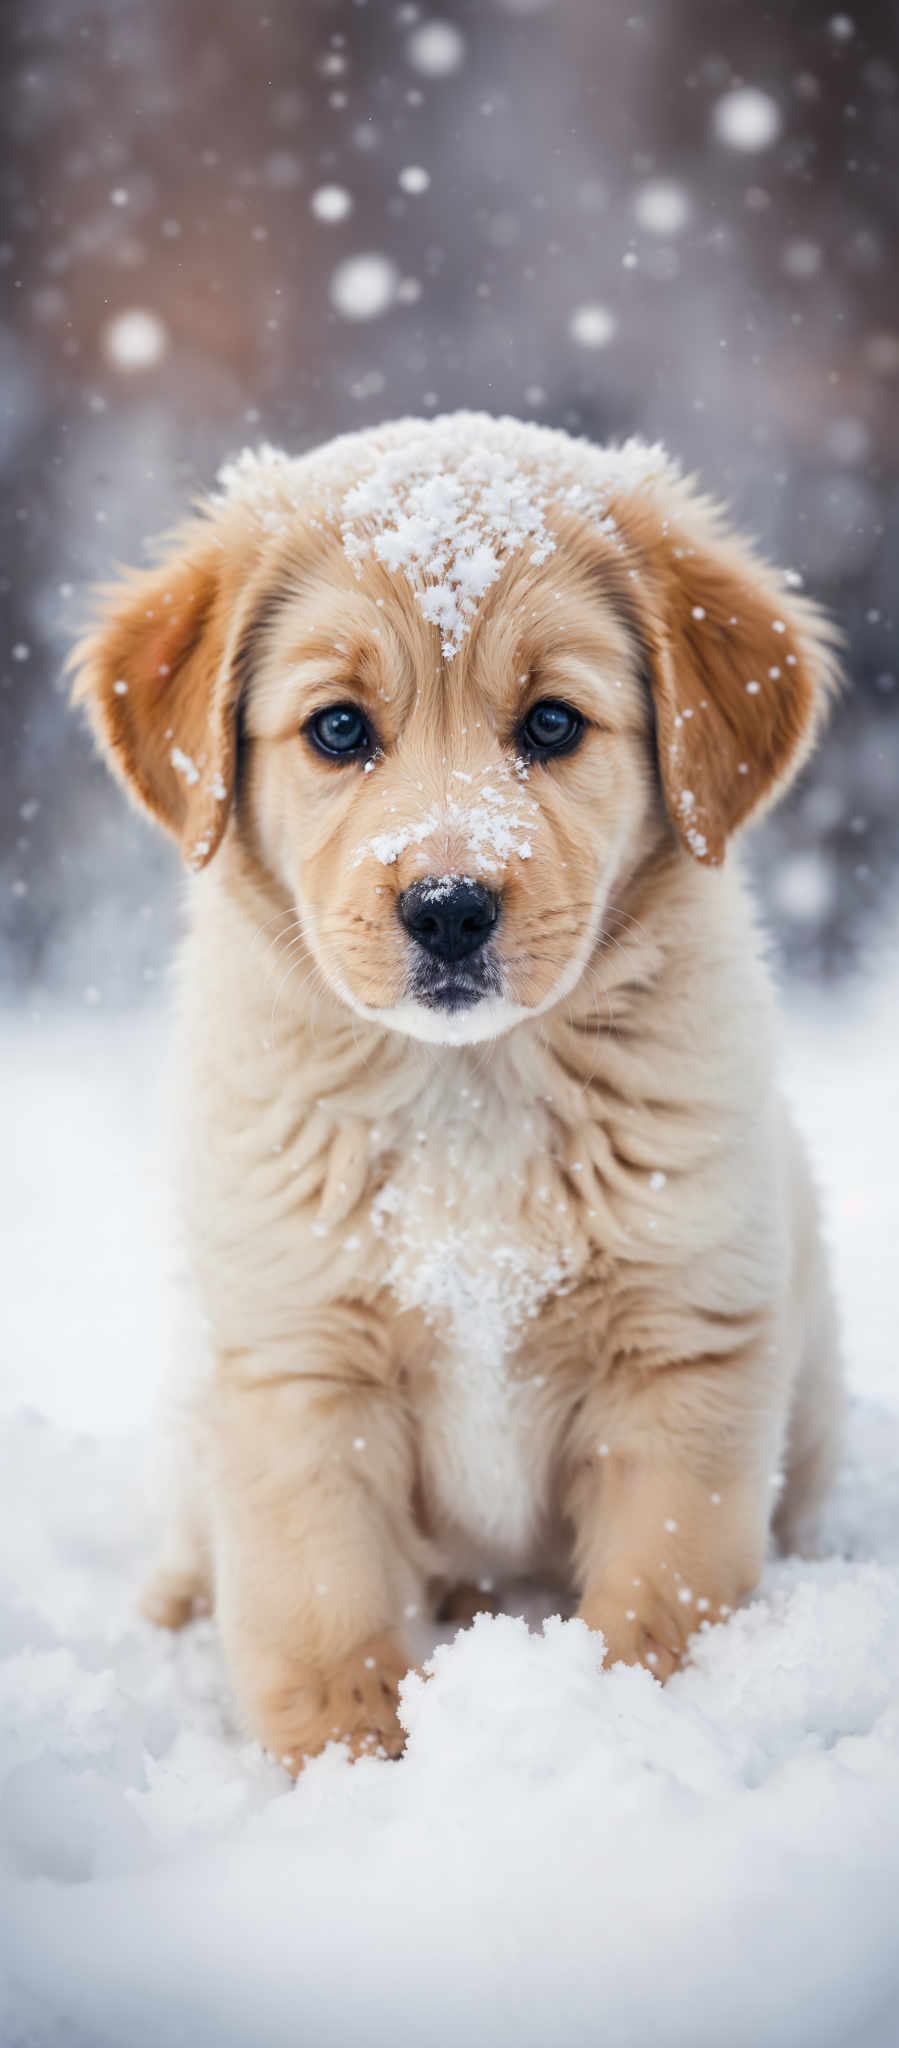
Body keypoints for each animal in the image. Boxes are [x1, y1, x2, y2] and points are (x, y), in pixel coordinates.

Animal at [70, 411, 843, 1761]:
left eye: (551, 724)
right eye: (337, 729)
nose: (446, 906)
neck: (466, 1085)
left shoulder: (683, 1354)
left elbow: (660, 1598)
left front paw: (632, 1731)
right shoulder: (298, 1368)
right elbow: (322, 1623)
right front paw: (349, 1775)